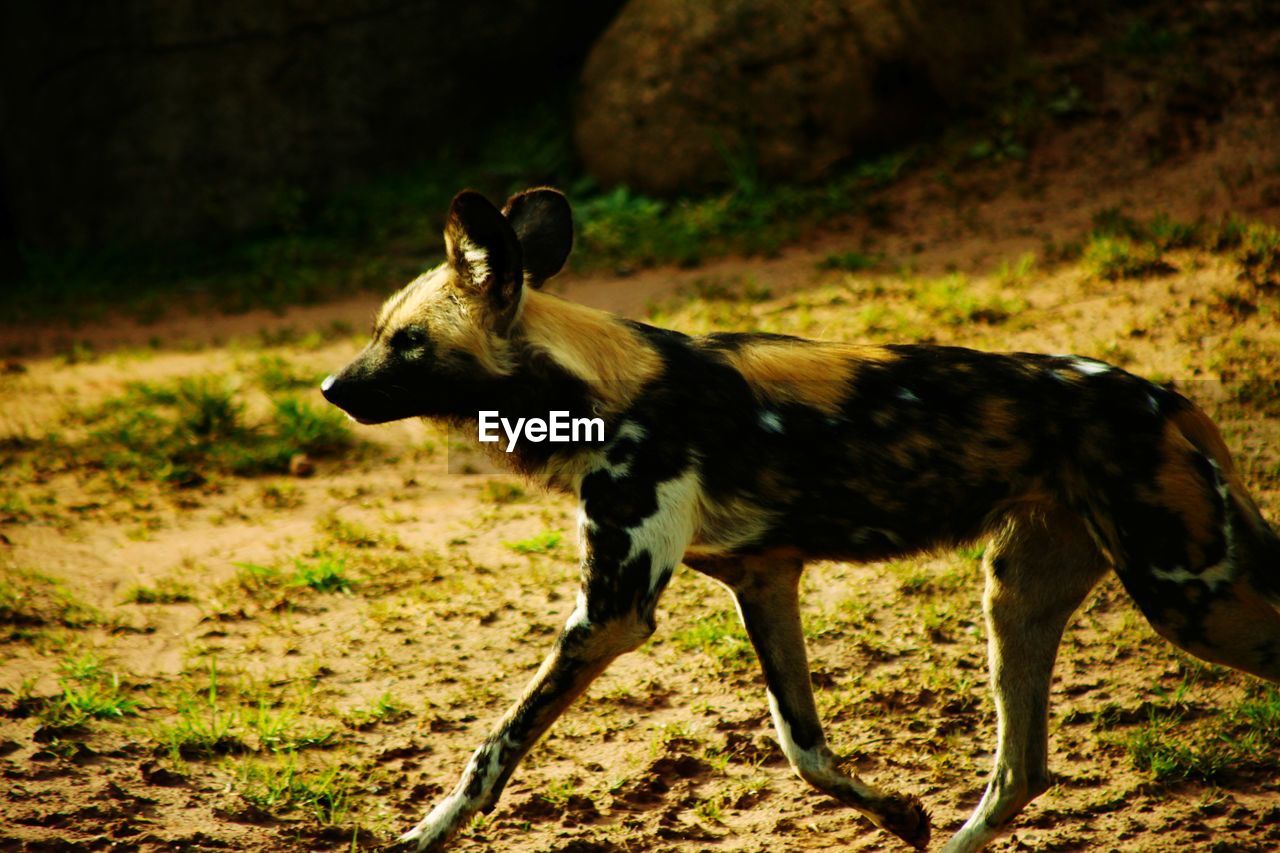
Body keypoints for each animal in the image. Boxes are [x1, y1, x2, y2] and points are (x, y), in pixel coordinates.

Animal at [325, 188, 1280, 850]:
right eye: (377, 330)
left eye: (405, 341)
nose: (331, 388)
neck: (596, 387)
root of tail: (1163, 396)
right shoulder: (762, 578)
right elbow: (803, 745)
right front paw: (900, 814)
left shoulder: (609, 616)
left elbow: (492, 751)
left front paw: (419, 835)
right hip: (1016, 595)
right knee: (1021, 768)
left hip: (1187, 594)